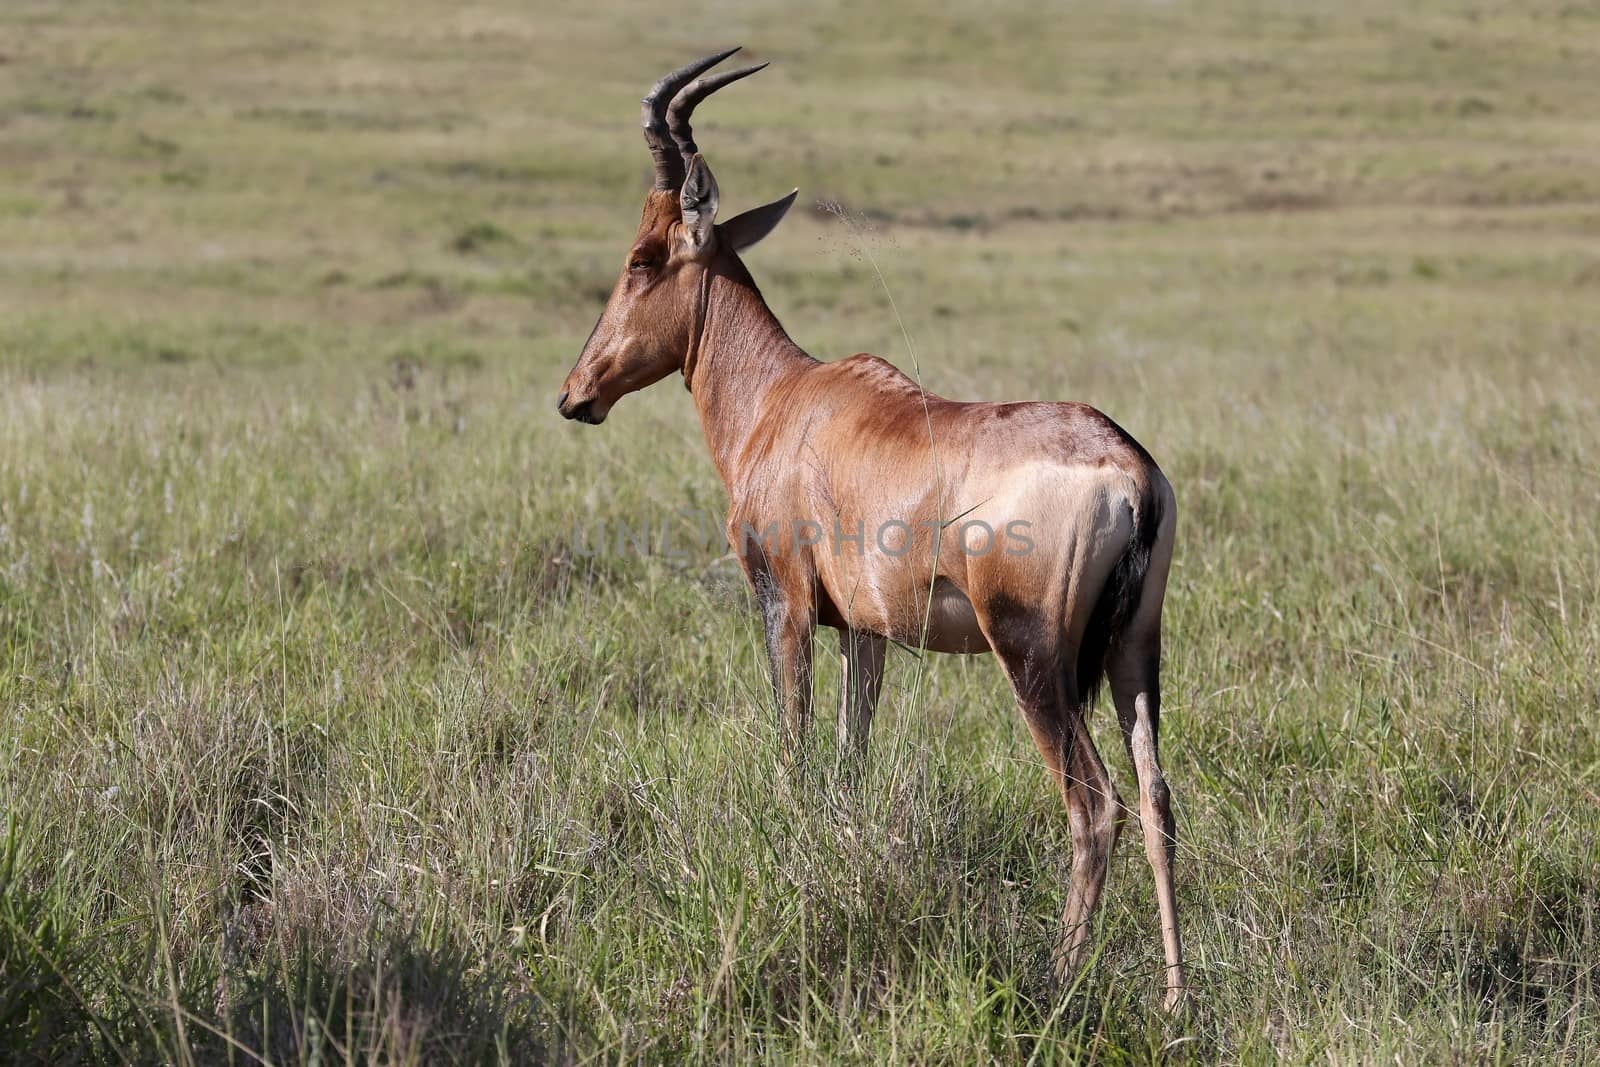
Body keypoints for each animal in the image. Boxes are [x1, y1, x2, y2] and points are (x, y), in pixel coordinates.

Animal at [556, 47, 1184, 1011]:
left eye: (641, 256)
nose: (575, 393)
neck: (789, 399)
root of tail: (1129, 471)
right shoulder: (867, 631)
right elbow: (850, 761)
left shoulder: (783, 603)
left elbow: (796, 747)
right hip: (1134, 650)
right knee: (1157, 800)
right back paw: (1178, 999)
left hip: (1033, 657)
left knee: (1093, 804)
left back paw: (1054, 981)